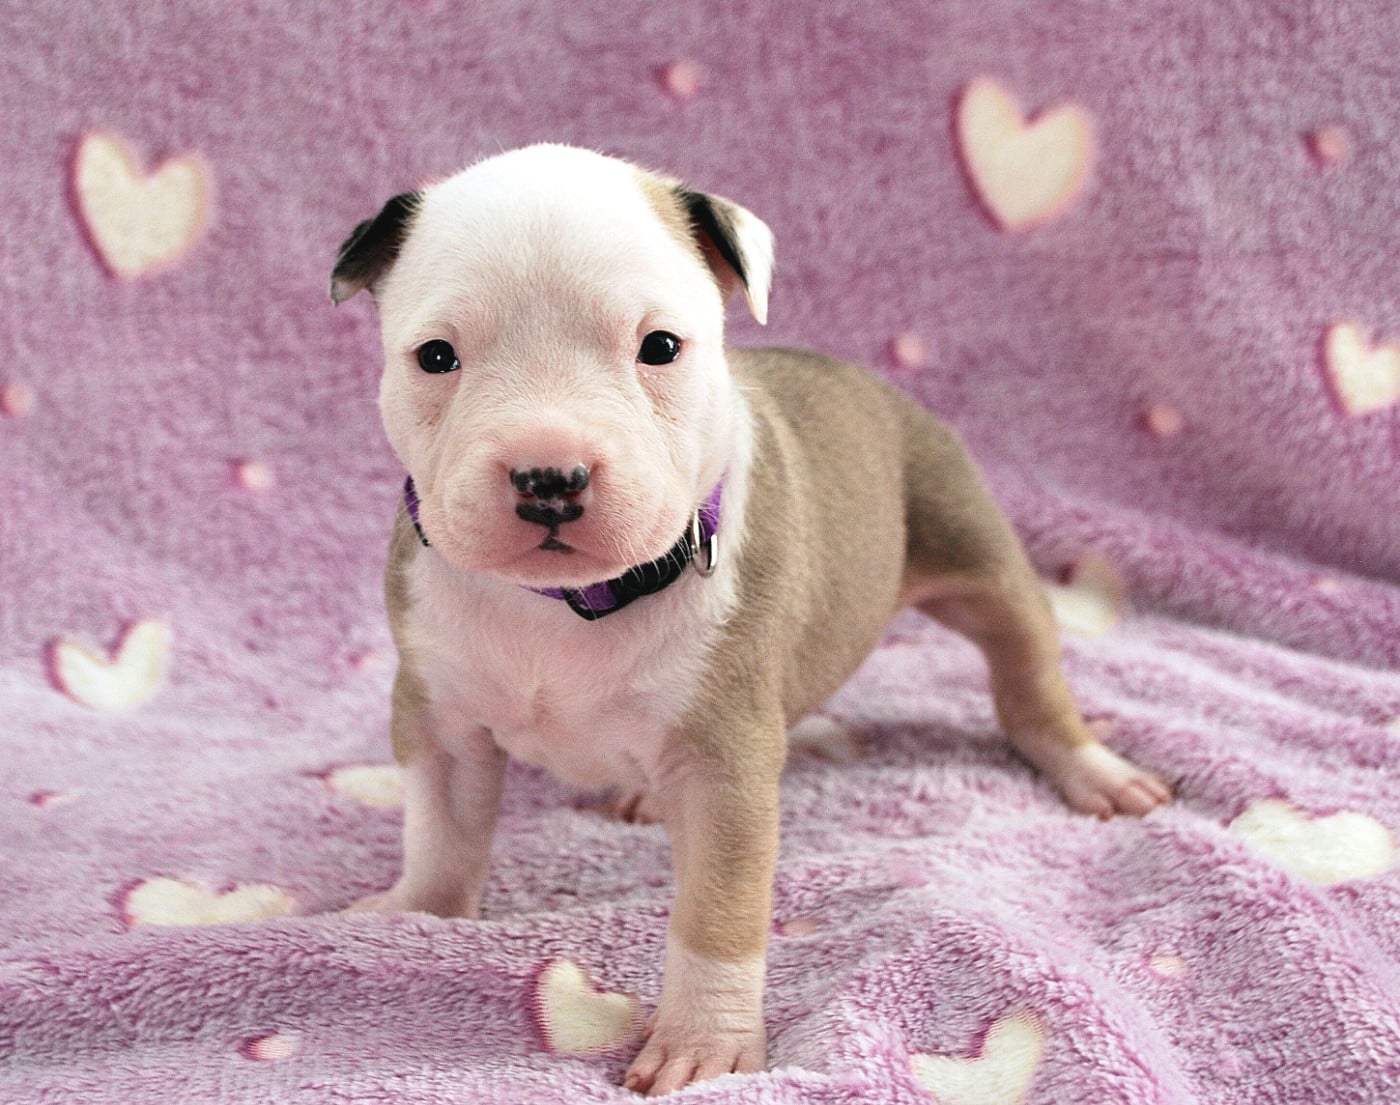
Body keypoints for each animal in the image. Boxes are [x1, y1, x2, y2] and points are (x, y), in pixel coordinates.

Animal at [330, 144, 1171, 1096]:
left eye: (659, 347)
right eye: (436, 356)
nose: (550, 476)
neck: (573, 601)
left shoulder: (725, 756)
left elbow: (718, 911)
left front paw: (704, 1041)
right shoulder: (441, 713)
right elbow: (441, 828)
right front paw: (418, 915)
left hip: (975, 551)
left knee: (1027, 674)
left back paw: (1095, 768)